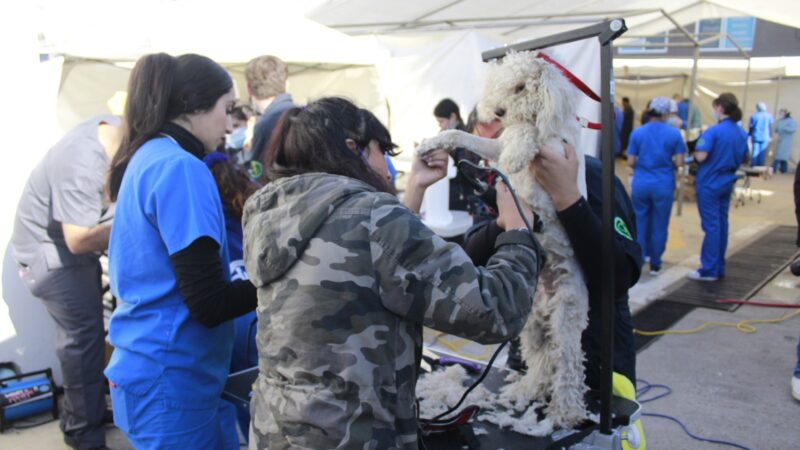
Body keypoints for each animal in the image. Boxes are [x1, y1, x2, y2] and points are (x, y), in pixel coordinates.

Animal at [416, 51, 592, 430]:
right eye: (503, 83)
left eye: (523, 86)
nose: (498, 112)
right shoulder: (494, 142)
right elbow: (464, 135)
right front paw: (431, 144)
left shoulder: (556, 148)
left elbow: (528, 132)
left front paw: (515, 156)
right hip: (532, 321)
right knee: (540, 360)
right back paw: (527, 389)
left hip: (565, 315)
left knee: (568, 364)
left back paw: (566, 411)